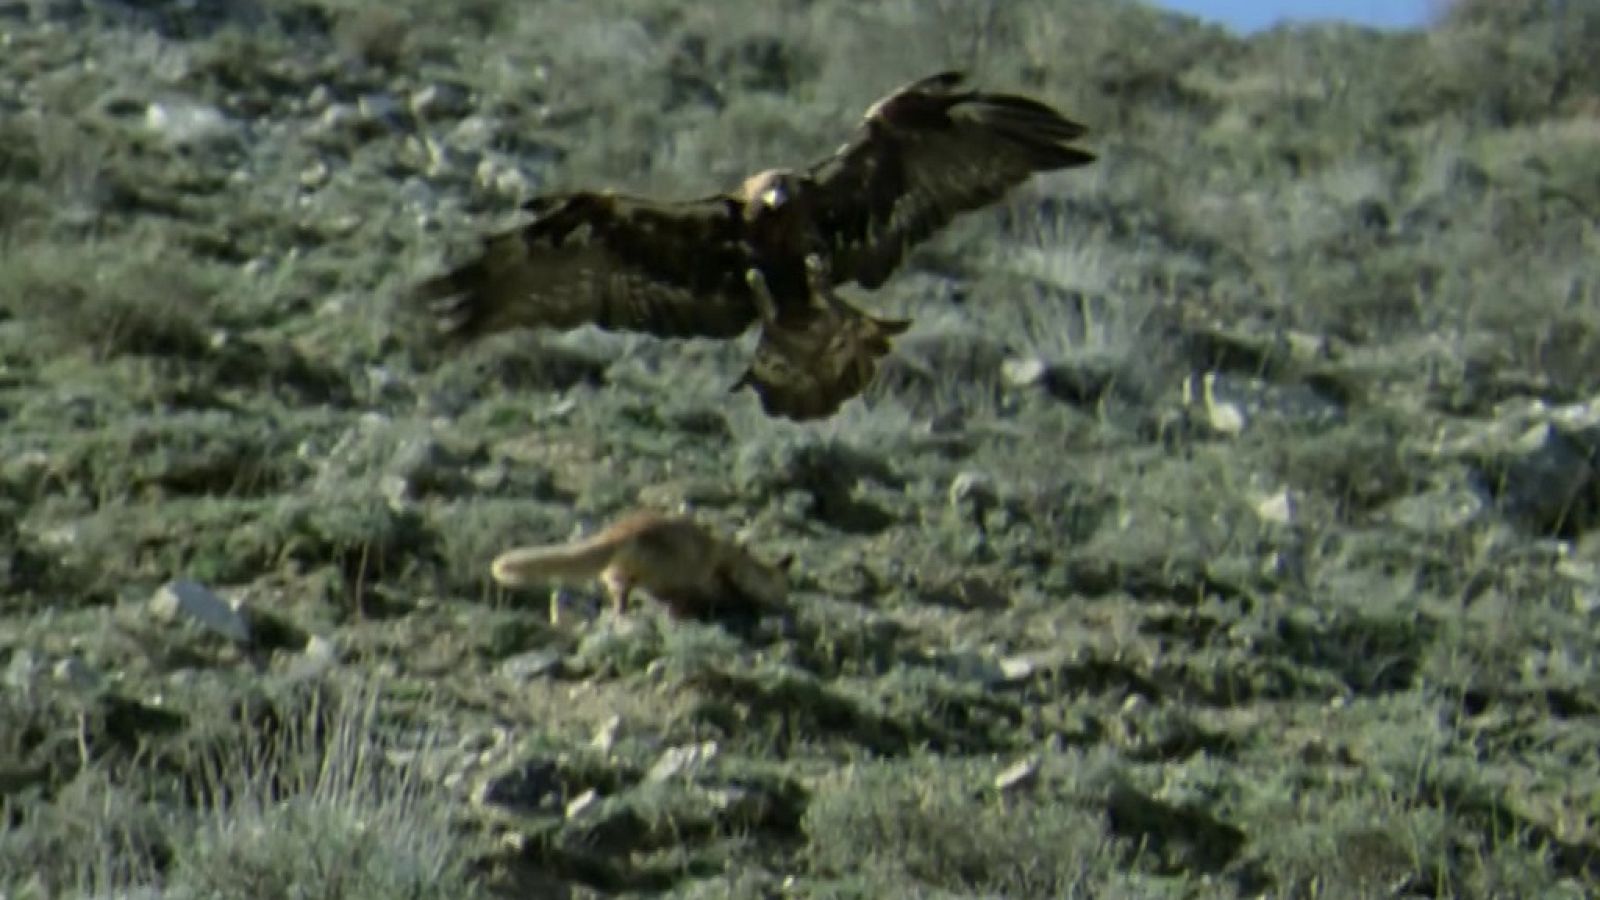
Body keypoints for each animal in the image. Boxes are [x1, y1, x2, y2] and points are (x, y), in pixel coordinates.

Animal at [490, 509, 791, 620]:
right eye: (782, 590)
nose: (785, 606)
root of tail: (617, 533)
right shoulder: (717, 575)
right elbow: (728, 591)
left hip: (620, 573)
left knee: (618, 587)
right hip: (662, 572)